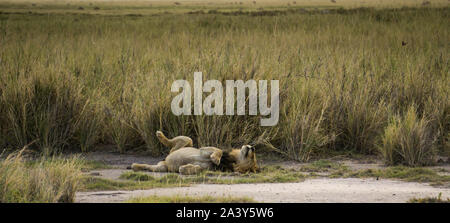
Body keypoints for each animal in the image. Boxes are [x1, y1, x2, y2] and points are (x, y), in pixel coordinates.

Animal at [130, 131, 258, 176]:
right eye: (253, 156)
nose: (253, 147)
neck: (228, 161)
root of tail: (166, 159)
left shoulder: (207, 169)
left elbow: (196, 169)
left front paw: (184, 168)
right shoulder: (205, 149)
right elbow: (219, 151)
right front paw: (215, 159)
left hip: (162, 168)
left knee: (149, 167)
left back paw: (135, 166)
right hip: (188, 140)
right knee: (171, 142)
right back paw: (160, 134)